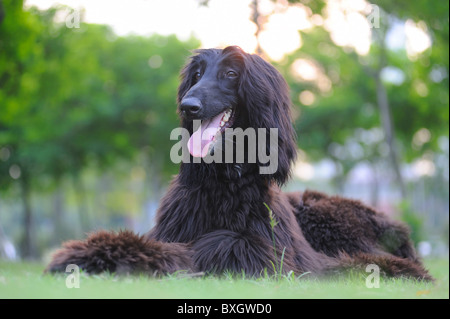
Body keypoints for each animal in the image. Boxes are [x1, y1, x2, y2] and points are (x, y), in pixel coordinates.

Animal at [46, 46, 432, 282]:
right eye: (196, 74)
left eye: (231, 74)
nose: (188, 106)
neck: (223, 182)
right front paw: (93, 252)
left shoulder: (277, 256)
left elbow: (220, 243)